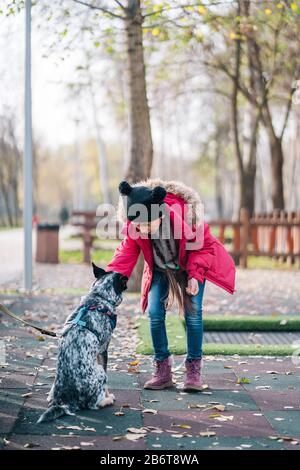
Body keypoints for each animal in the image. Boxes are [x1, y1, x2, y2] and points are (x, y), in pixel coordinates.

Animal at [37, 264, 127, 422]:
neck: (99, 297)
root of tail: (67, 403)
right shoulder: (103, 350)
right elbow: (106, 385)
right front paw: (108, 395)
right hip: (100, 372)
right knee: (94, 404)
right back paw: (107, 401)